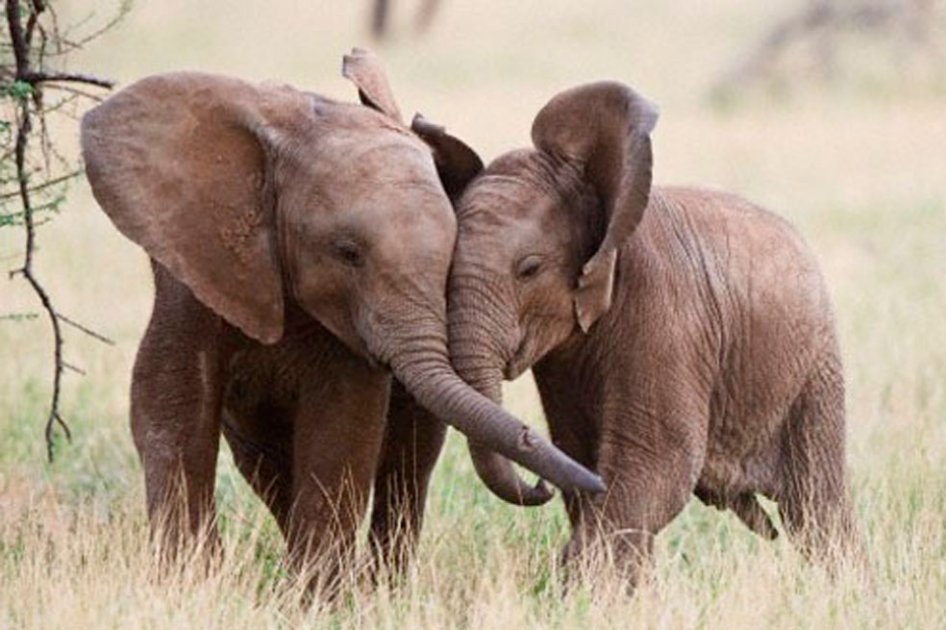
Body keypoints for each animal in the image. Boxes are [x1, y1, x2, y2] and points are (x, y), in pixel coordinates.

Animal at [80, 49, 603, 588]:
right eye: (347, 252)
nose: (549, 485)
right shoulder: (192, 271)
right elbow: (170, 401)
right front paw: (191, 581)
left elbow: (344, 421)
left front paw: (315, 595)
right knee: (264, 462)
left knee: (408, 459)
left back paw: (381, 585)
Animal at [446, 81, 860, 586]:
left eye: (529, 269)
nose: (538, 483)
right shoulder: (562, 366)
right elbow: (583, 459)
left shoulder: (666, 316)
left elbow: (656, 464)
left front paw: (574, 586)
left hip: (814, 367)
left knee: (815, 507)